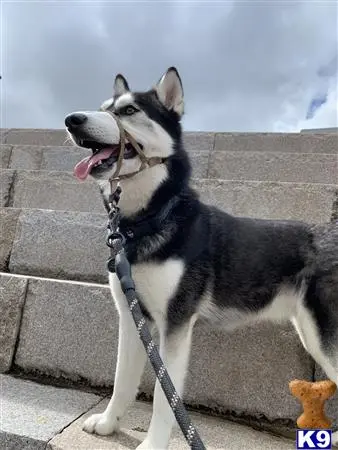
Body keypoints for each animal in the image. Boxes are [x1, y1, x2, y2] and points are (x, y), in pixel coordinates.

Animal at [64, 67, 336, 450]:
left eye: (129, 111)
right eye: (103, 108)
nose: (71, 120)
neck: (151, 218)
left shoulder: (176, 323)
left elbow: (165, 397)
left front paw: (153, 444)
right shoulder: (132, 318)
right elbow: (122, 379)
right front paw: (108, 423)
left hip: (323, 339)